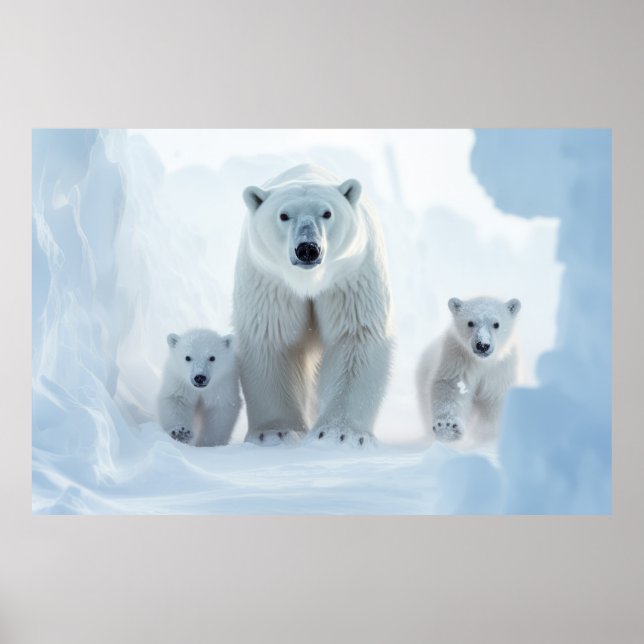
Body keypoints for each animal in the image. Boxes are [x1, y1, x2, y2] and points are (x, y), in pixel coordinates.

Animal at [233, 164, 394, 447]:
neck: (308, 281)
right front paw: (275, 433)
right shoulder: (271, 283)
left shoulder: (350, 277)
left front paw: (340, 434)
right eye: (283, 215)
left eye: (327, 212)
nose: (307, 248)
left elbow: (354, 337)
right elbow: (271, 339)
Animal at [416, 296, 521, 445]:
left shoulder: (501, 368)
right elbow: (452, 386)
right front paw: (448, 428)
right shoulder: (458, 357)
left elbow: (497, 396)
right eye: (470, 322)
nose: (482, 345)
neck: (483, 362)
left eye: (496, 324)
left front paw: (488, 435)